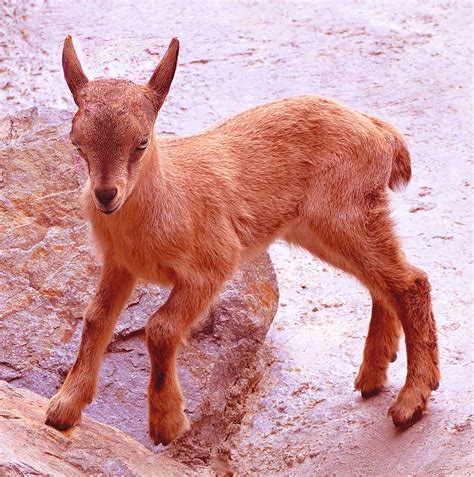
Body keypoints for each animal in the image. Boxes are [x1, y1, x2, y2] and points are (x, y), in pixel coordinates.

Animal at [46, 36, 438, 442]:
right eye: (77, 142)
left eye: (141, 142)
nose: (106, 196)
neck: (167, 198)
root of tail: (380, 133)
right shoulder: (120, 264)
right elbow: (96, 318)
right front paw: (63, 409)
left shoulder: (212, 265)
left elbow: (160, 328)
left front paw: (167, 423)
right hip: (321, 229)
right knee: (384, 281)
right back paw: (374, 375)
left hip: (344, 217)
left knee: (411, 282)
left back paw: (411, 400)